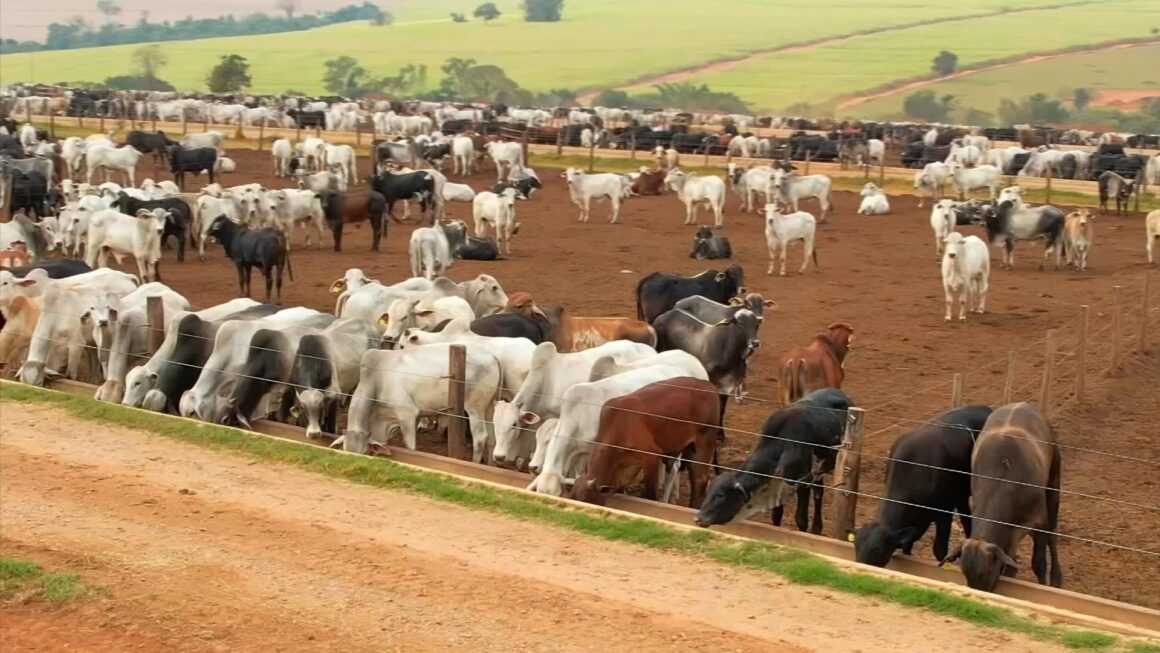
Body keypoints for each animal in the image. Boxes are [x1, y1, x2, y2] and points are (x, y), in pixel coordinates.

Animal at [568, 375, 719, 508]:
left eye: (587, 500)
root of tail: (707, 385)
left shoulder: (651, 457)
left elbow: (649, 493)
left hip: (703, 443)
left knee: (700, 479)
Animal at [696, 387, 853, 535]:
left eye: (720, 495)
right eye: (708, 492)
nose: (698, 518)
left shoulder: (804, 482)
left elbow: (801, 519)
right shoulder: (778, 484)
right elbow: (776, 515)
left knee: (818, 494)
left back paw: (816, 528)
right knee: (819, 490)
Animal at [849, 403, 992, 568]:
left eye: (877, 549)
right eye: (856, 545)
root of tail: (985, 408)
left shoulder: (944, 511)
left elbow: (939, 549)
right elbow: (907, 546)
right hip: (961, 494)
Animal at [946, 403, 1062, 593]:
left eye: (985, 573)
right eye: (965, 573)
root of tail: (1023, 404)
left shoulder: (1040, 519)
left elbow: (1038, 563)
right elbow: (1010, 566)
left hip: (1054, 483)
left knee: (1053, 535)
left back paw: (1057, 578)